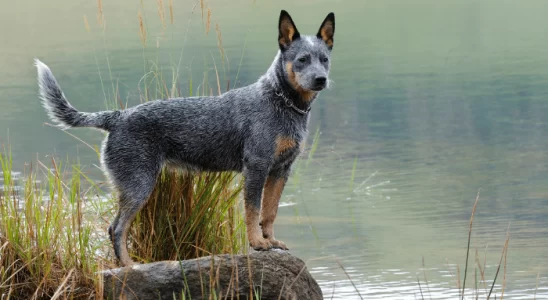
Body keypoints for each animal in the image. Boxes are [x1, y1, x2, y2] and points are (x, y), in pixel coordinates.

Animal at [35, 9, 334, 268]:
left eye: (324, 59)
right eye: (302, 59)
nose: (321, 79)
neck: (281, 102)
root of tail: (117, 117)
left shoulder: (281, 170)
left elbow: (269, 212)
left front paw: (271, 241)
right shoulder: (256, 168)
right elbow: (253, 212)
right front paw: (258, 243)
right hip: (139, 185)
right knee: (116, 228)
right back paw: (129, 266)